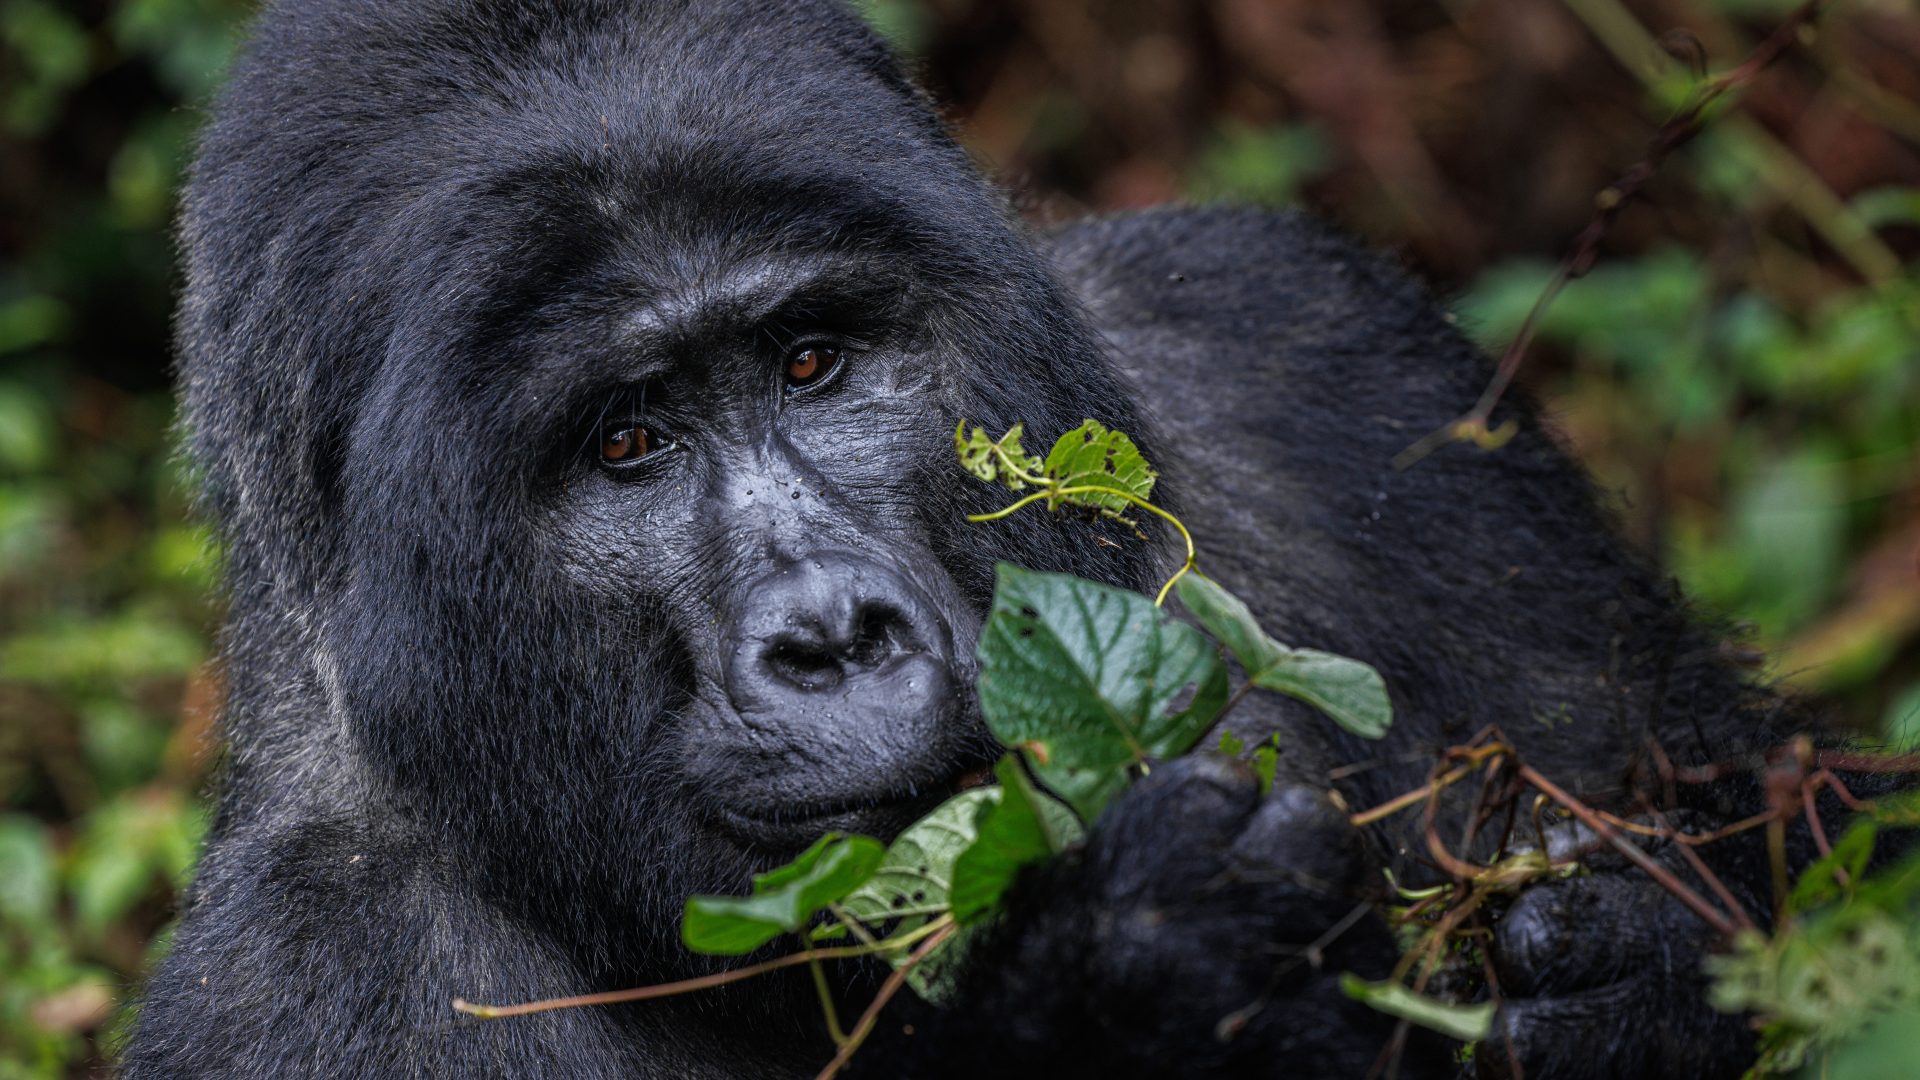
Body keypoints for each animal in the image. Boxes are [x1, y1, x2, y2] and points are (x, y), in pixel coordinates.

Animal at [120, 2, 1873, 1076]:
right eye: (625, 443)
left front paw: (1650, 953)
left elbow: (1813, 814)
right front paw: (1146, 978)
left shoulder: (1302, 342)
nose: (834, 637)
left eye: (814, 361)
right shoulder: (319, 979)